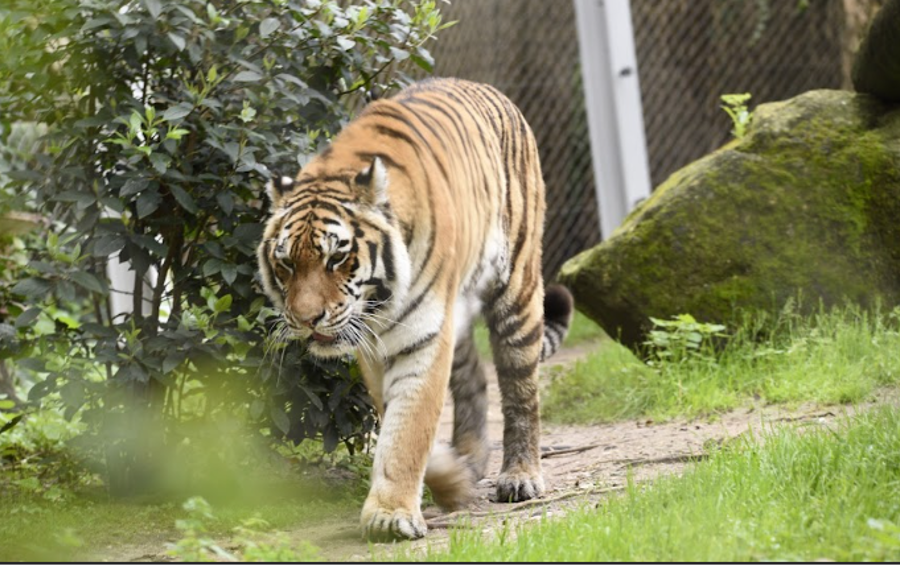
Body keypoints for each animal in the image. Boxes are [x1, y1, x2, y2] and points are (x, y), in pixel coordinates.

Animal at [256, 77, 572, 540]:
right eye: (286, 263)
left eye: (337, 257)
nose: (306, 319)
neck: (379, 303)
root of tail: (488, 89)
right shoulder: (374, 346)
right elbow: (398, 422)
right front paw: (447, 479)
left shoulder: (423, 335)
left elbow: (409, 427)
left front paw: (390, 515)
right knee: (474, 379)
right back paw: (470, 462)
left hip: (517, 289)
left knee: (520, 390)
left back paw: (520, 476)